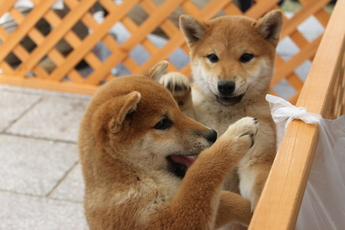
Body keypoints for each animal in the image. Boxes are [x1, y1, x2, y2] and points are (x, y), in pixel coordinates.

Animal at [78, 60, 258, 229]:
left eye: (178, 110)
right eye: (163, 123)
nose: (213, 135)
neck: (131, 175)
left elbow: (223, 198)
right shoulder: (164, 222)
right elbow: (202, 173)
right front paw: (233, 138)